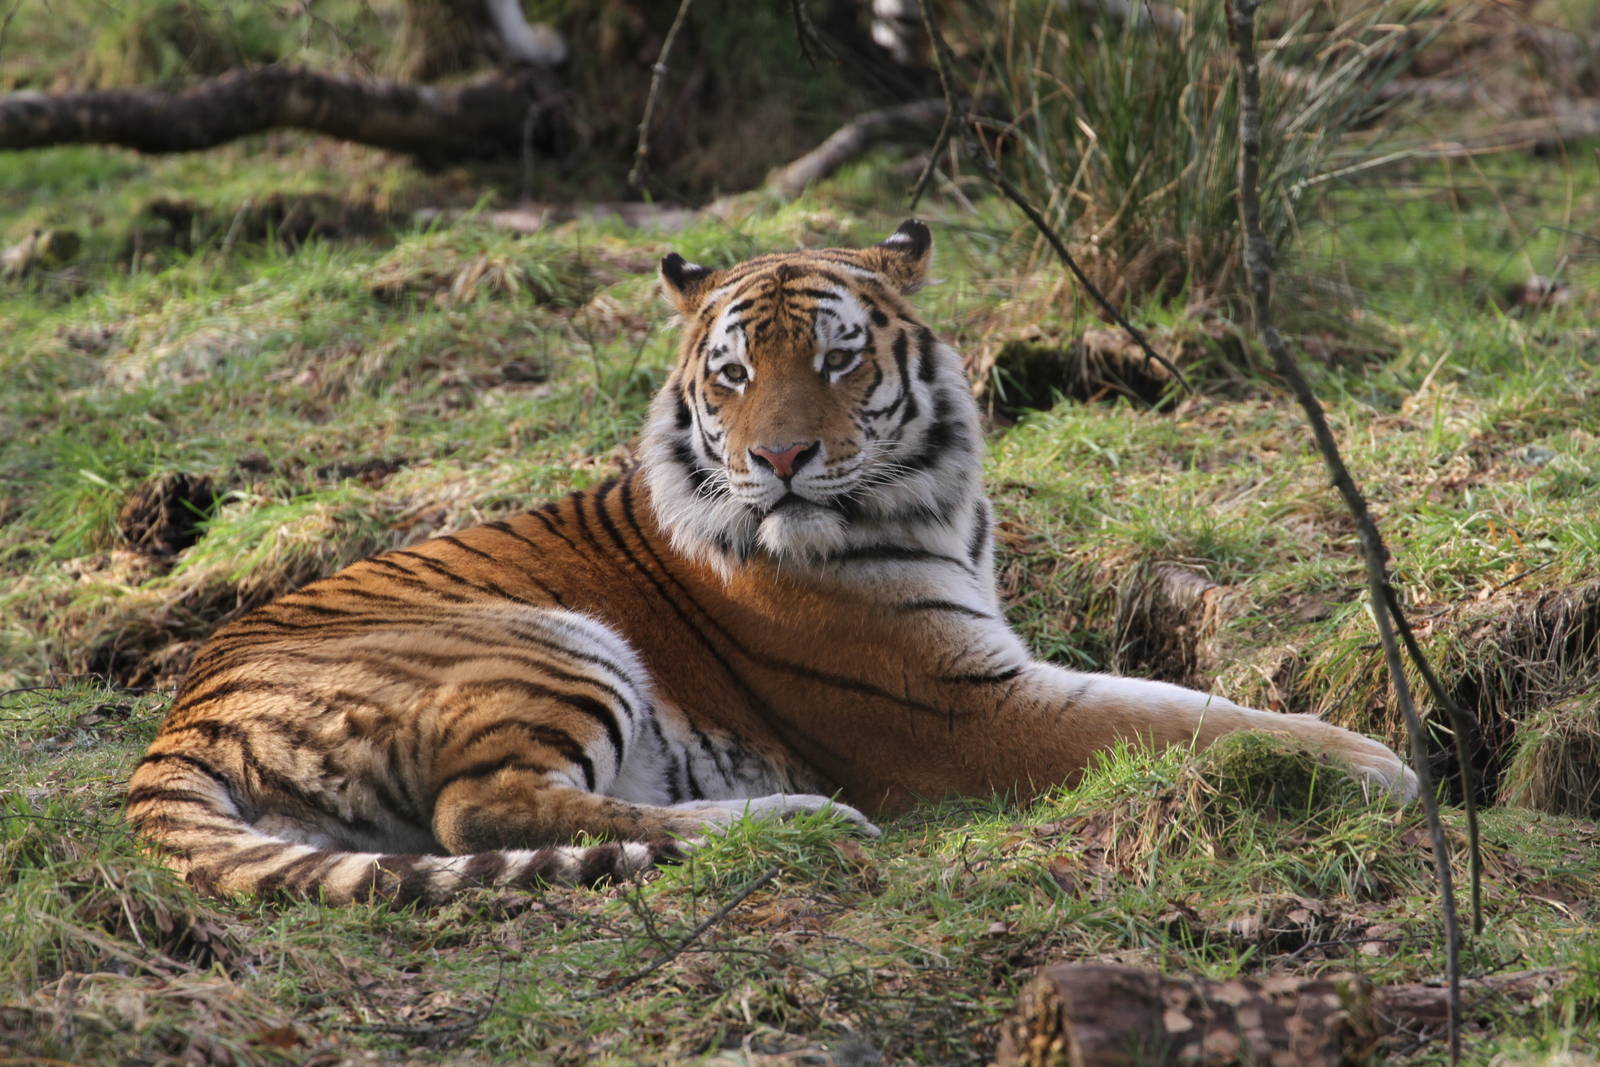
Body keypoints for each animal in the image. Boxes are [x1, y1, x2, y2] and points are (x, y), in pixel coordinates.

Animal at [126, 220, 1417, 904]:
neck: (930, 502)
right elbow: (1176, 716)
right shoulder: (966, 706)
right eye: (735, 373)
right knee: (478, 807)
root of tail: (177, 718)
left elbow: (1184, 698)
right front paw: (1376, 762)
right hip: (552, 642)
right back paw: (796, 817)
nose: (782, 456)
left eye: (839, 358)